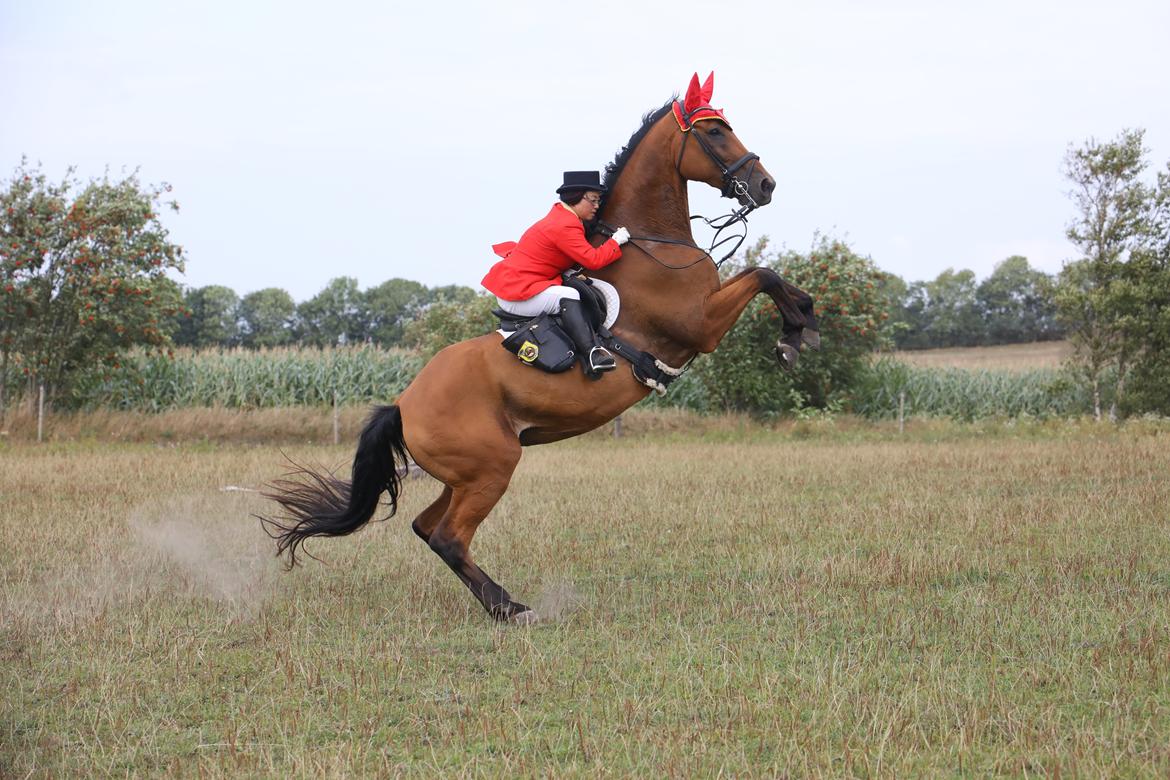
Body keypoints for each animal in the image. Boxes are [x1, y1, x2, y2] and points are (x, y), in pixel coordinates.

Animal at [260, 73, 819, 624]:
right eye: (717, 132)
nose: (766, 185)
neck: (654, 245)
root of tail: (402, 404)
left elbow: (770, 277)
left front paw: (804, 326)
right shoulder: (699, 325)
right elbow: (763, 275)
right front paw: (794, 337)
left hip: (464, 476)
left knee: (427, 528)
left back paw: (501, 604)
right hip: (491, 468)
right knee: (449, 537)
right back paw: (512, 608)